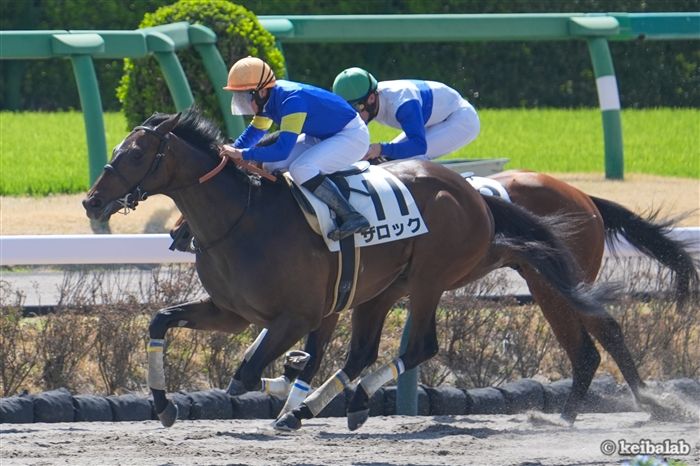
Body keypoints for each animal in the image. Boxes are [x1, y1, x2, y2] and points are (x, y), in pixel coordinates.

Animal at [82, 108, 611, 428]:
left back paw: (337, 403)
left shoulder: (297, 314)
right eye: (117, 150)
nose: (91, 201)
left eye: (135, 154)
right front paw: (163, 404)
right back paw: (322, 406)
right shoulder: (231, 311)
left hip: (429, 279)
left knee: (420, 344)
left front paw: (289, 381)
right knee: (368, 350)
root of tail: (472, 192)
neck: (241, 219)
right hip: (384, 288)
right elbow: (161, 321)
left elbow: (248, 374)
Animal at [271, 169, 699, 430]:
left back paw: (604, 409)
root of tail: (583, 196)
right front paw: (288, 392)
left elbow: (319, 346)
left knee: (593, 342)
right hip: (554, 280)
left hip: (550, 283)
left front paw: (292, 399)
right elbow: (317, 348)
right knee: (598, 339)